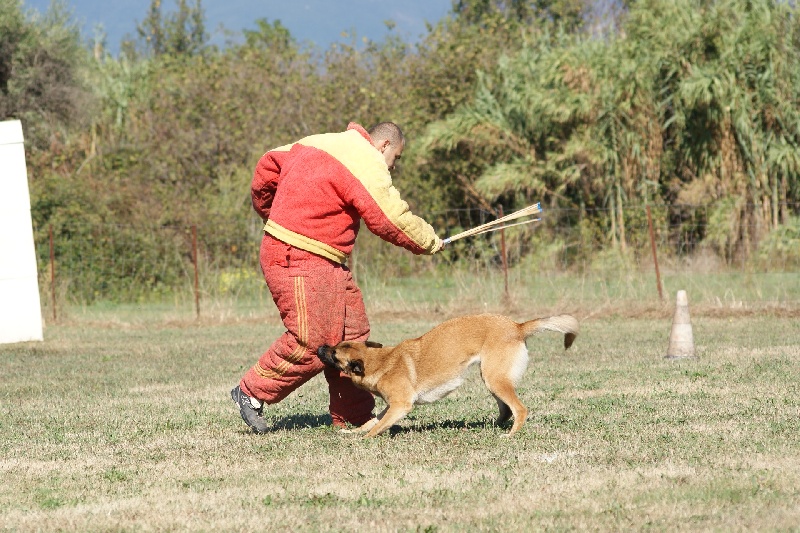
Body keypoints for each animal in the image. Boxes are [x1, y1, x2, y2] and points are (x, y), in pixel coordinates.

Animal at [316, 312, 580, 436]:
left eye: (334, 354)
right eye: (335, 345)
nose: (319, 347)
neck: (381, 361)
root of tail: (517, 327)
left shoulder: (401, 405)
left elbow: (376, 427)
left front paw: (363, 438)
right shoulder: (392, 405)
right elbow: (372, 421)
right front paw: (351, 432)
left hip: (495, 378)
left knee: (519, 409)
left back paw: (510, 435)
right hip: (491, 378)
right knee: (506, 410)